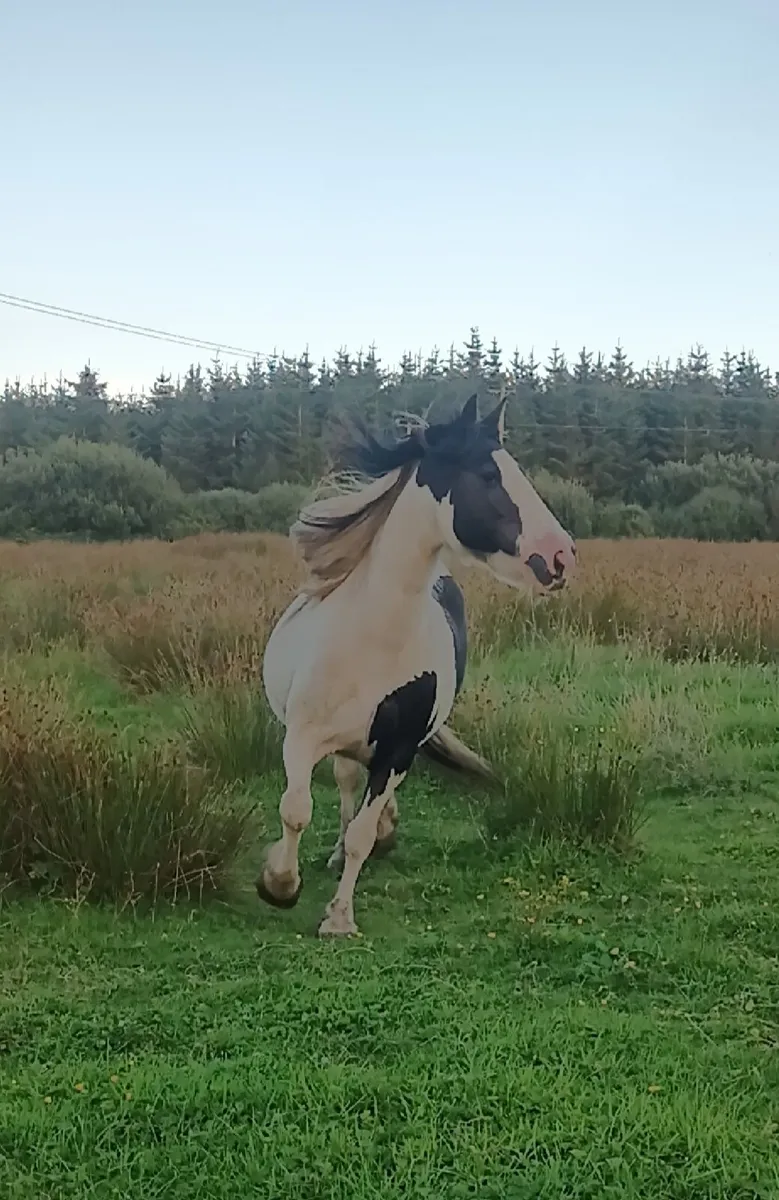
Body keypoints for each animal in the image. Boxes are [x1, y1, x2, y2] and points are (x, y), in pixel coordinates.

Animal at [258, 392, 577, 937]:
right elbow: (296, 809)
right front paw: (278, 885)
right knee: (344, 784)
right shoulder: (301, 736)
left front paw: (339, 918)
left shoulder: (399, 750)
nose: (560, 556)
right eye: (488, 474)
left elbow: (364, 832)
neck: (372, 640)